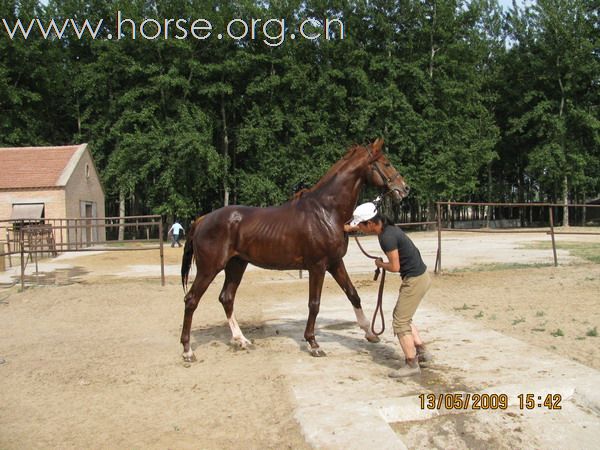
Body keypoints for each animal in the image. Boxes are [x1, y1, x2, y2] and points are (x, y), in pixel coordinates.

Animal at [180, 138, 410, 362]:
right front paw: (313, 344)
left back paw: (242, 340)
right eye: (386, 163)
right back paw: (188, 351)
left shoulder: (335, 263)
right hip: (209, 269)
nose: (405, 188)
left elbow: (353, 294)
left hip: (236, 265)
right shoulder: (317, 266)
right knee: (191, 300)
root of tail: (201, 220)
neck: (326, 211)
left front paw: (370, 334)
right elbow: (314, 304)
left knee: (226, 298)